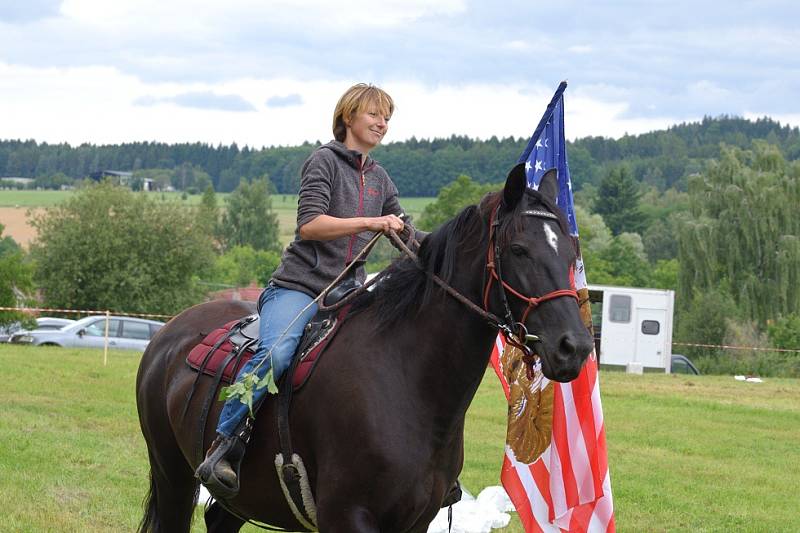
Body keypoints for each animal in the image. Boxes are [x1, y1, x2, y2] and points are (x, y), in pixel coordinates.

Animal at [134, 164, 592, 528]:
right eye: (518, 249)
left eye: (571, 250)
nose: (575, 346)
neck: (409, 382)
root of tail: (168, 335)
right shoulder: (349, 516)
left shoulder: (416, 522)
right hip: (174, 478)